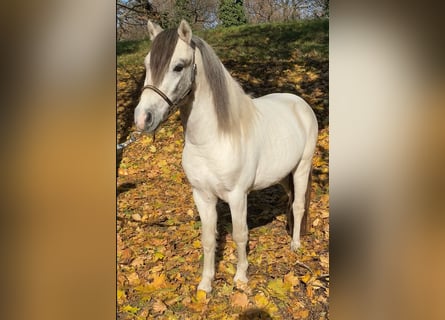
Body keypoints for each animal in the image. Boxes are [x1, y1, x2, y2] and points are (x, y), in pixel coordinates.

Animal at [134, 18, 318, 292]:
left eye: (178, 66)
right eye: (147, 64)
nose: (142, 118)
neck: (211, 140)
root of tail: (300, 103)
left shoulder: (237, 196)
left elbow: (240, 235)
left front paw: (240, 278)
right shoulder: (202, 196)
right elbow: (208, 238)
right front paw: (205, 284)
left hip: (302, 168)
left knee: (298, 205)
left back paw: (295, 245)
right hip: (284, 174)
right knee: (290, 199)